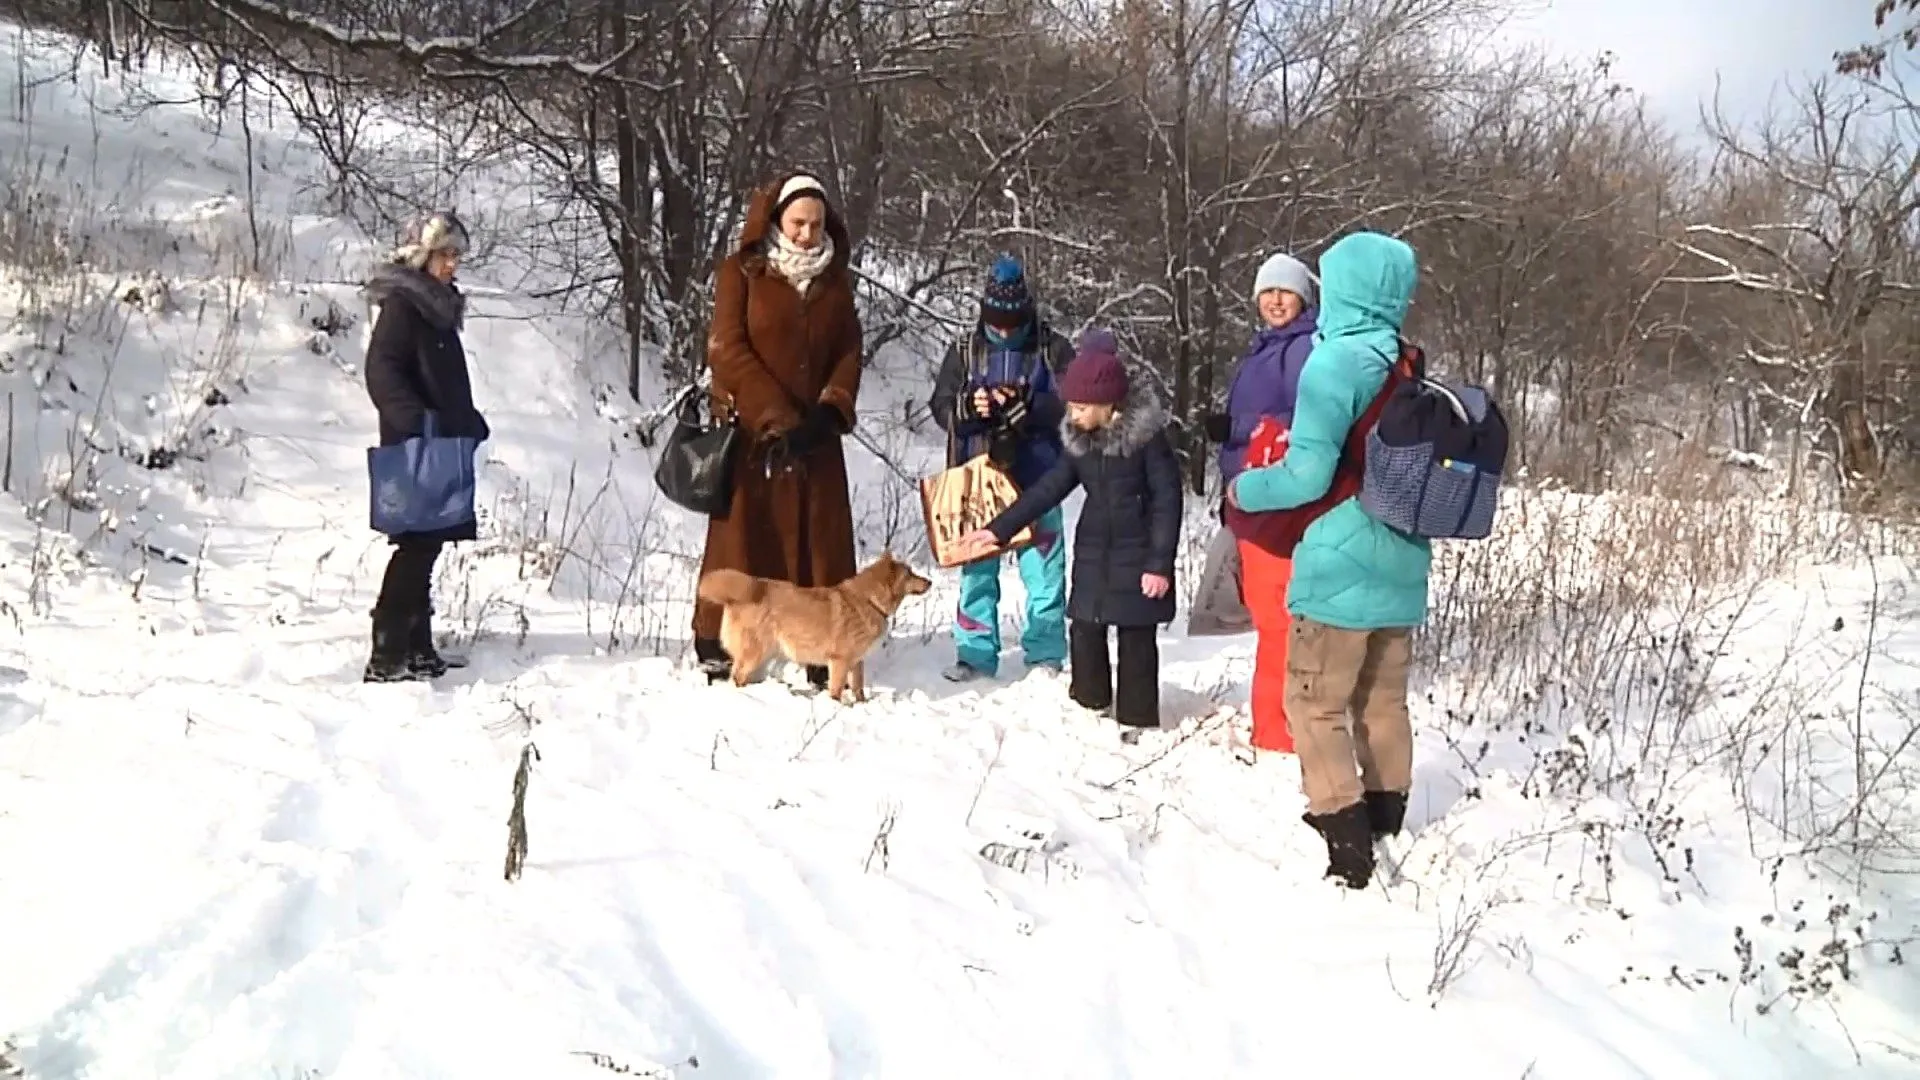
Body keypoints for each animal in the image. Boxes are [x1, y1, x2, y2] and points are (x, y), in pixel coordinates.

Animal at [695, 549, 933, 703]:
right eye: (910, 574)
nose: (930, 581)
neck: (869, 600)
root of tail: (750, 589)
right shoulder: (839, 661)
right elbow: (836, 689)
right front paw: (837, 705)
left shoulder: (857, 662)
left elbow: (858, 687)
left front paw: (861, 704)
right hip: (756, 652)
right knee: (737, 675)